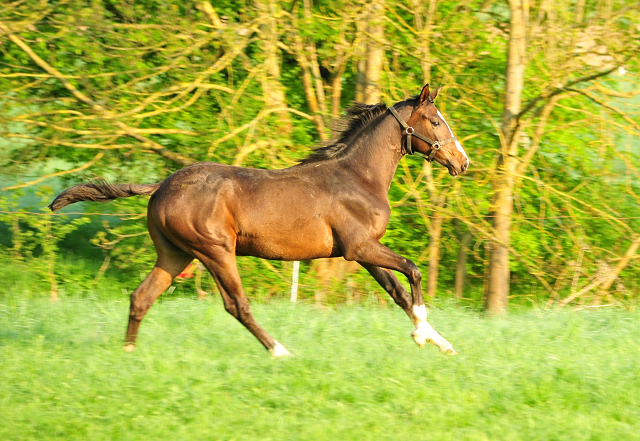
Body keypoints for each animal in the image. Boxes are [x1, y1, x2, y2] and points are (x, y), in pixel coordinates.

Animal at [50, 84, 468, 356]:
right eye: (435, 121)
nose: (463, 162)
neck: (358, 177)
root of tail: (162, 185)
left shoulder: (362, 251)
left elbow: (398, 292)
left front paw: (441, 342)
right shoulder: (360, 247)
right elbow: (412, 271)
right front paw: (422, 337)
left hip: (174, 254)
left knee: (141, 297)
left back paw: (128, 353)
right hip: (215, 251)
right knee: (236, 305)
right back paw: (280, 351)